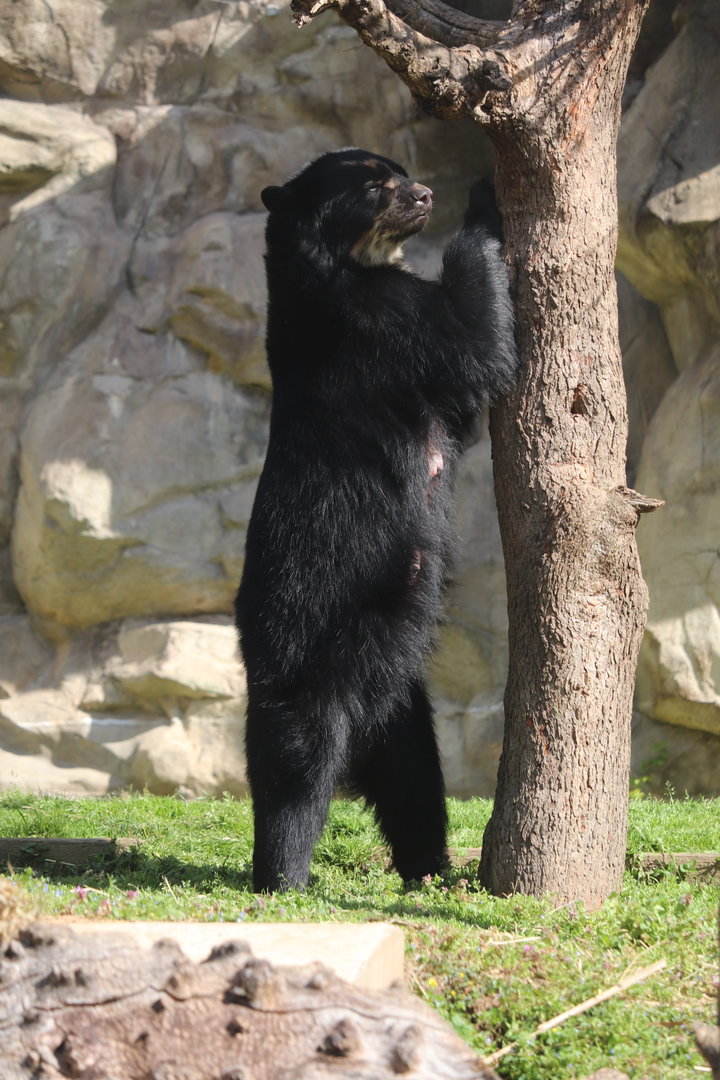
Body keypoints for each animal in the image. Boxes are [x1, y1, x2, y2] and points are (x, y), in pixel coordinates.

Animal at [235, 148, 517, 893]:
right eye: (372, 185)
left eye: (401, 171)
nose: (424, 194)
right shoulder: (378, 317)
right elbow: (471, 344)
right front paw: (484, 195)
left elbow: (461, 406)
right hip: (311, 634)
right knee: (298, 762)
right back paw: (283, 870)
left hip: (392, 689)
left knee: (411, 773)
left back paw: (430, 868)